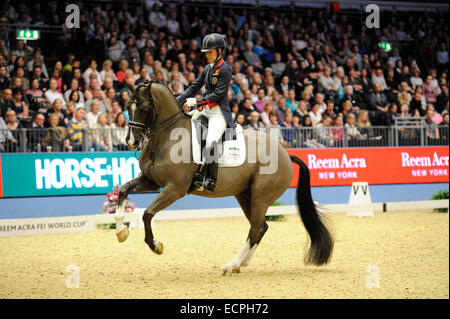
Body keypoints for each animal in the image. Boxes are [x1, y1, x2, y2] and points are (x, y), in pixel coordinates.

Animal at [114, 80, 332, 276]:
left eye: (144, 107)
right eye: (127, 106)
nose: (132, 142)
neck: (168, 137)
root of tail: (286, 154)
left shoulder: (175, 188)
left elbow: (147, 213)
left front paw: (155, 245)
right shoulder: (152, 181)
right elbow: (123, 191)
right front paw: (120, 232)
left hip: (261, 198)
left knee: (255, 229)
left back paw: (231, 265)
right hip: (245, 195)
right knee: (261, 227)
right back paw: (239, 265)